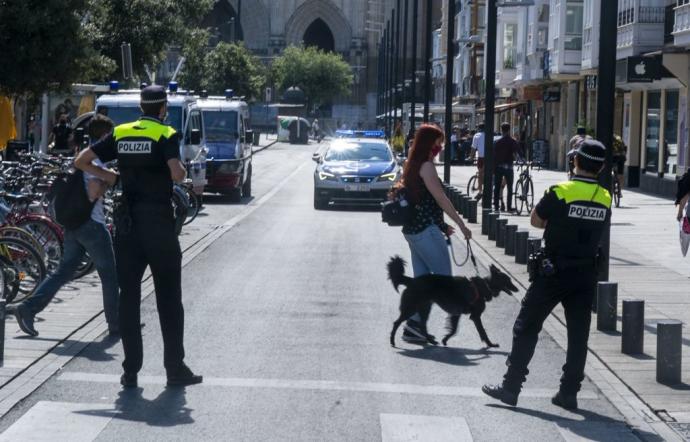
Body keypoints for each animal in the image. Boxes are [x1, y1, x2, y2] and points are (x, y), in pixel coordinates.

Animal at [388, 256, 516, 348]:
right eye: (508, 280)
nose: (517, 289)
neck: (485, 285)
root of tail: (411, 280)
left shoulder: (457, 313)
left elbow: (454, 329)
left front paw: (445, 339)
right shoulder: (475, 316)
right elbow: (482, 332)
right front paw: (490, 344)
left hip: (424, 308)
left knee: (422, 326)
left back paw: (431, 341)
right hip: (411, 308)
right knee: (396, 323)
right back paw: (392, 341)